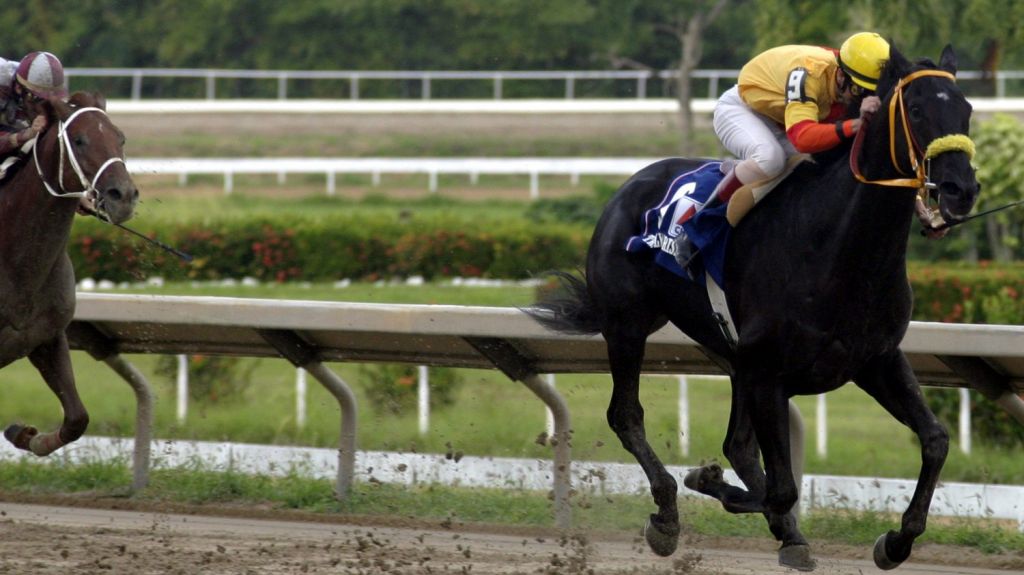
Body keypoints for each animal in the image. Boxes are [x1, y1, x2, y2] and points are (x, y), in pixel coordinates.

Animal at [1, 91, 138, 457]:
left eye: (120, 137)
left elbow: (77, 418)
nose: (124, 196)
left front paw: (24, 433)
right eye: (79, 140)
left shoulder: (46, 337)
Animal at [527, 45, 978, 571]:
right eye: (918, 109)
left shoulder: (875, 359)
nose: (960, 189)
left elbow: (935, 439)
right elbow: (780, 488)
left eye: (967, 109)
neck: (838, 248)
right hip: (627, 326)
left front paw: (896, 541)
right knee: (627, 415)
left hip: (731, 356)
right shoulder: (768, 371)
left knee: (737, 445)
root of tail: (627, 188)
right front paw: (707, 482)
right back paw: (667, 515)